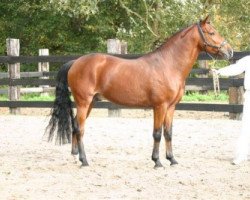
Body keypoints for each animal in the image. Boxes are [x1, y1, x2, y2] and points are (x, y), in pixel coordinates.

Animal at [46, 15, 233, 168]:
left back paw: (75, 156)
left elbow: (168, 133)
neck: (168, 64)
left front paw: (172, 159)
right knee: (80, 128)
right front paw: (157, 161)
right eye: (212, 32)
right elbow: (157, 133)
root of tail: (75, 62)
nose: (229, 51)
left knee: (76, 125)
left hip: (91, 102)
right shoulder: (160, 106)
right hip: (84, 102)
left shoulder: (171, 107)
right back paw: (84, 160)